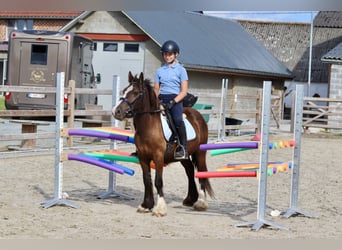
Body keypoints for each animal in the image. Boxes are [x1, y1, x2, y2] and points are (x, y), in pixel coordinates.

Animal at [112, 71, 214, 216]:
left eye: (136, 92)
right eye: (124, 91)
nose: (116, 111)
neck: (149, 126)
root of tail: (198, 115)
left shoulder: (158, 157)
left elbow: (158, 181)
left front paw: (159, 209)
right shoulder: (143, 158)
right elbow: (147, 180)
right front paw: (146, 205)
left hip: (200, 152)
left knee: (201, 172)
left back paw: (200, 203)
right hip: (183, 156)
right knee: (189, 170)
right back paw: (190, 199)